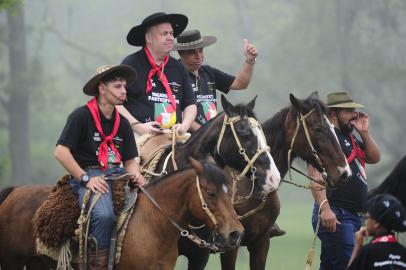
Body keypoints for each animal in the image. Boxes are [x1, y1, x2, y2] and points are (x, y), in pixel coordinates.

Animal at [0, 159, 244, 268]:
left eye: (231, 191)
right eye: (211, 193)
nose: (235, 233)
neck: (153, 224)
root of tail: (15, 191)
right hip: (12, 261)